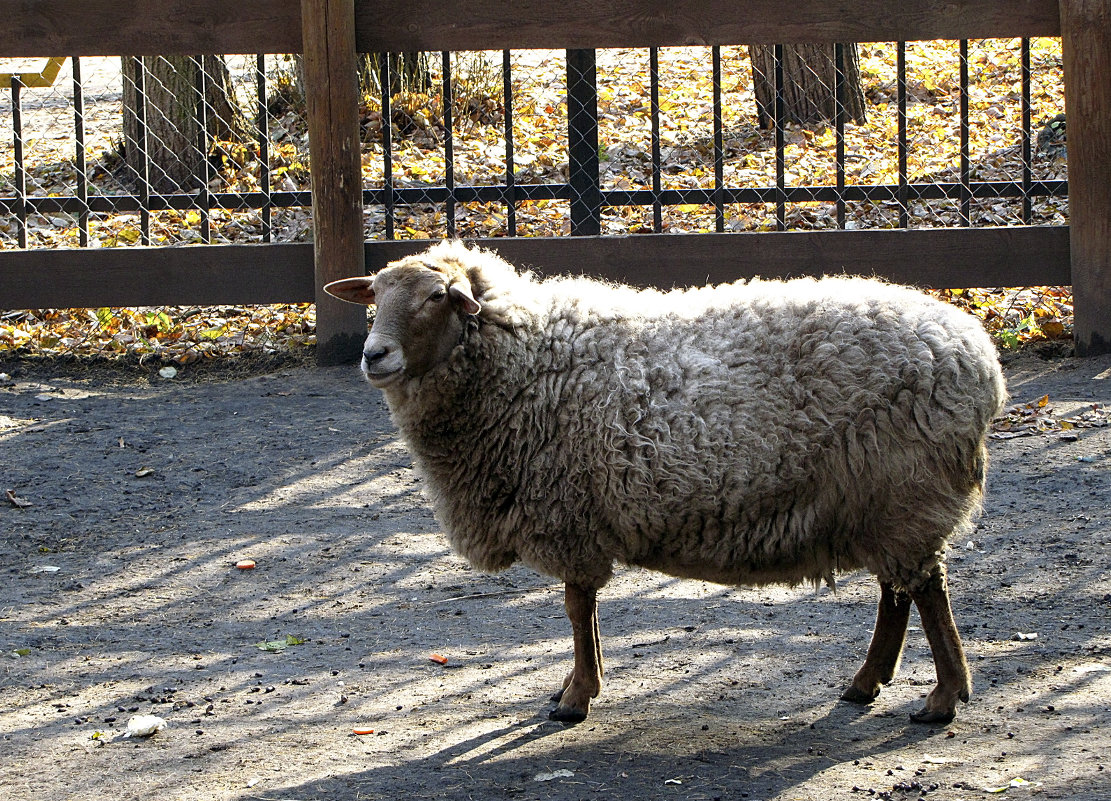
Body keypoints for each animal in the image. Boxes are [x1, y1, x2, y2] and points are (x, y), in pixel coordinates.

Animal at [324, 238, 1008, 724]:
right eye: (374, 294)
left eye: (439, 295)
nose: (373, 355)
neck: (526, 358)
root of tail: (975, 351)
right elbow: (582, 610)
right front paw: (578, 685)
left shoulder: (569, 514)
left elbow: (576, 606)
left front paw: (577, 696)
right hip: (876, 498)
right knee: (898, 591)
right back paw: (865, 684)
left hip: (904, 488)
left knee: (926, 590)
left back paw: (944, 698)